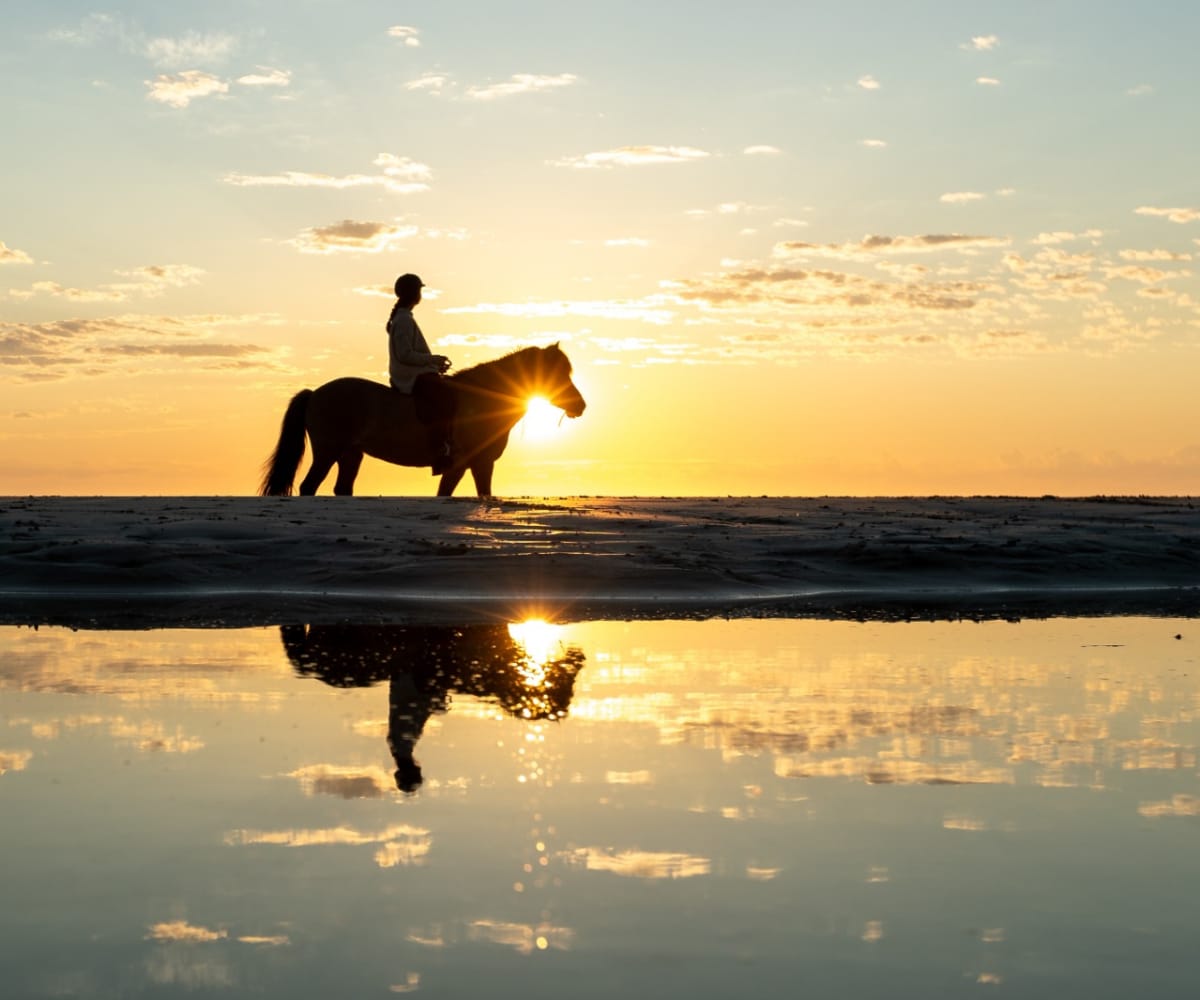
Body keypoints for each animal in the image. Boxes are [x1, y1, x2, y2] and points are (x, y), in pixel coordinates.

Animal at [259, 343, 586, 498]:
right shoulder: (462, 463)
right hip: (328, 451)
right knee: (308, 487)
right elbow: (446, 493)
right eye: (555, 374)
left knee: (342, 489)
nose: (580, 406)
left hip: (350, 454)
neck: (483, 400)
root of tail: (315, 394)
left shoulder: (481, 464)